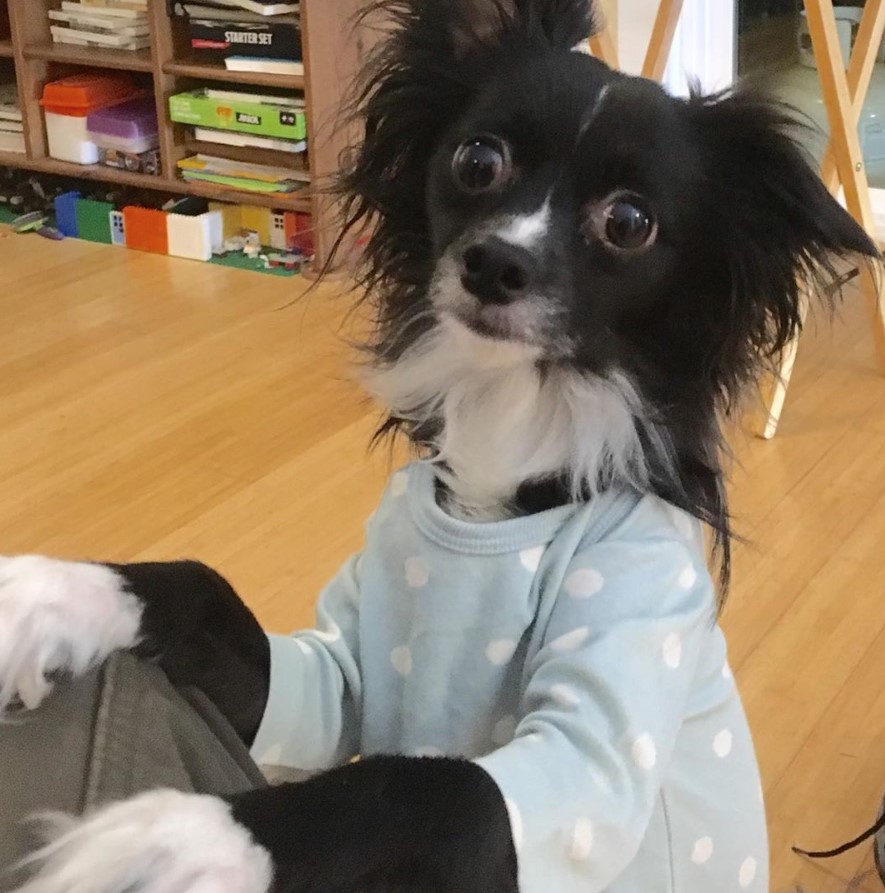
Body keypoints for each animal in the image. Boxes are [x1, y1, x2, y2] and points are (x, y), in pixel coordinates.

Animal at [0, 1, 876, 892]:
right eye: (477, 159)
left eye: (629, 222)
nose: (495, 261)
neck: (508, 440)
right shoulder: (327, 682)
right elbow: (208, 593)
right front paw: (49, 594)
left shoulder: (589, 755)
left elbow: (427, 784)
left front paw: (180, 835)